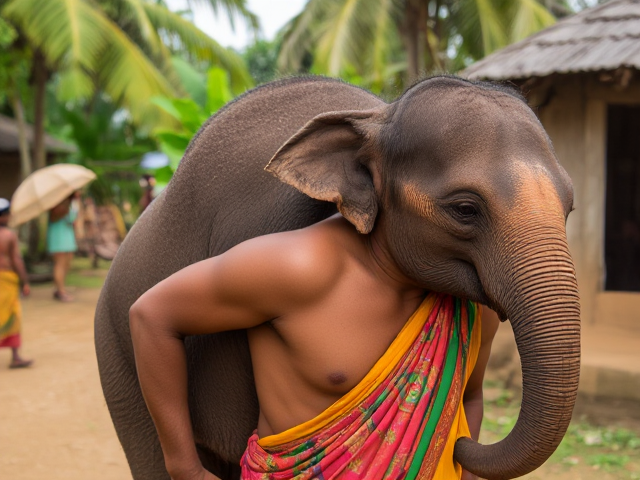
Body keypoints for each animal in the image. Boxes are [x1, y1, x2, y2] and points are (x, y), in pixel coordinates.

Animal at [95, 75, 580, 480]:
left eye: (570, 206)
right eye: (464, 209)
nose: (459, 445)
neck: (377, 115)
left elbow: (474, 390)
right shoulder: (280, 258)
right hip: (117, 356)